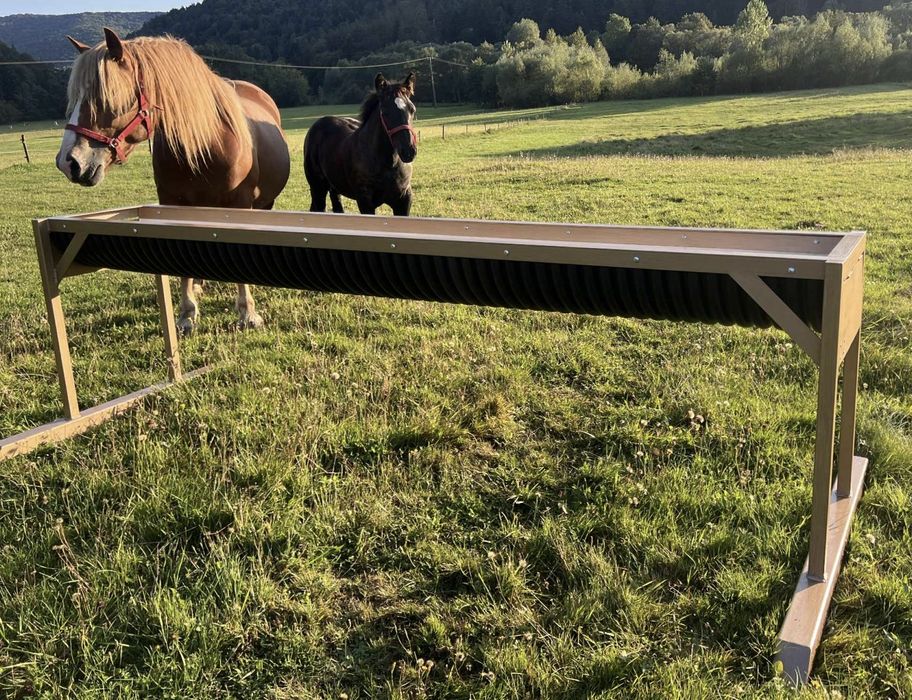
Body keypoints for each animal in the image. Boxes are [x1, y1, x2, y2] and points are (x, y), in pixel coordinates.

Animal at [56, 29, 291, 333]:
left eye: (107, 99)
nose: (69, 162)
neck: (208, 143)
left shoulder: (240, 204)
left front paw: (247, 312)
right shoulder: (172, 205)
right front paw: (187, 314)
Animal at [304, 72, 418, 216]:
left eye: (412, 110)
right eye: (385, 111)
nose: (409, 151)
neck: (387, 164)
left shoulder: (403, 201)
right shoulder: (365, 202)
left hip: (334, 186)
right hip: (317, 187)